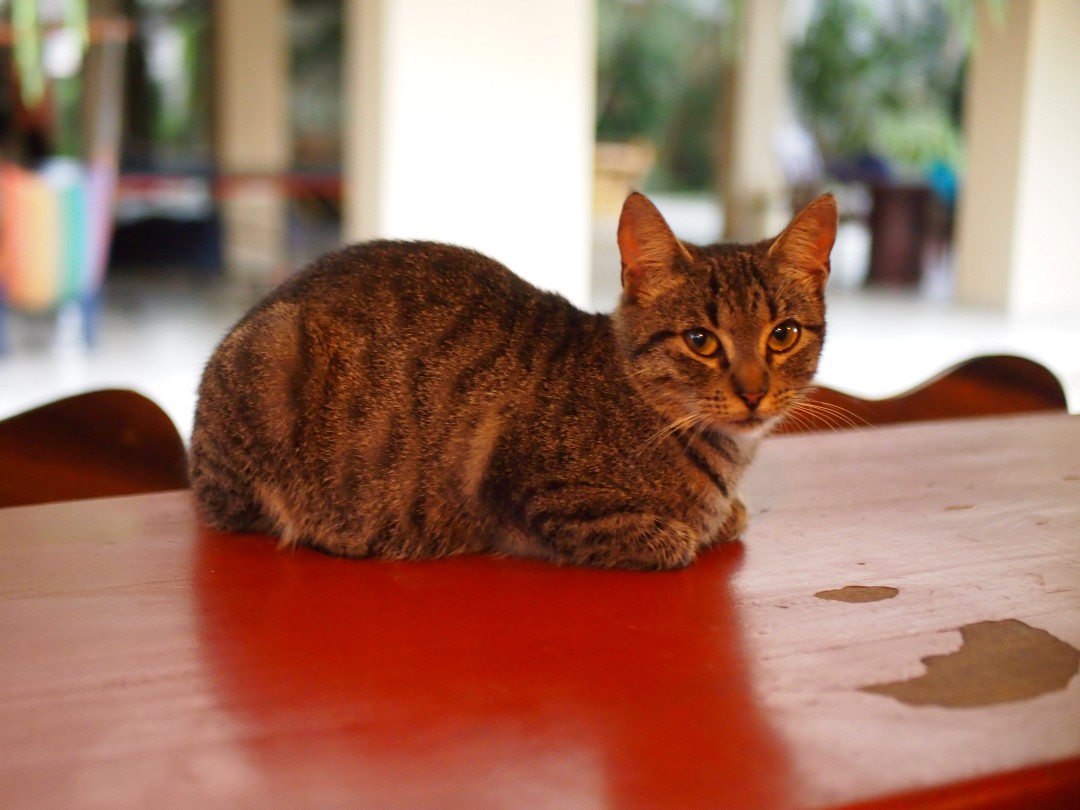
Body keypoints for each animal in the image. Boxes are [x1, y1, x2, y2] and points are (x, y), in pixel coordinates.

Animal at [190, 192, 838, 570]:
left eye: (783, 334)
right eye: (700, 340)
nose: (753, 392)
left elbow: (732, 517)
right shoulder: (532, 493)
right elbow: (671, 538)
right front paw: (695, 527)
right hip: (271, 361)